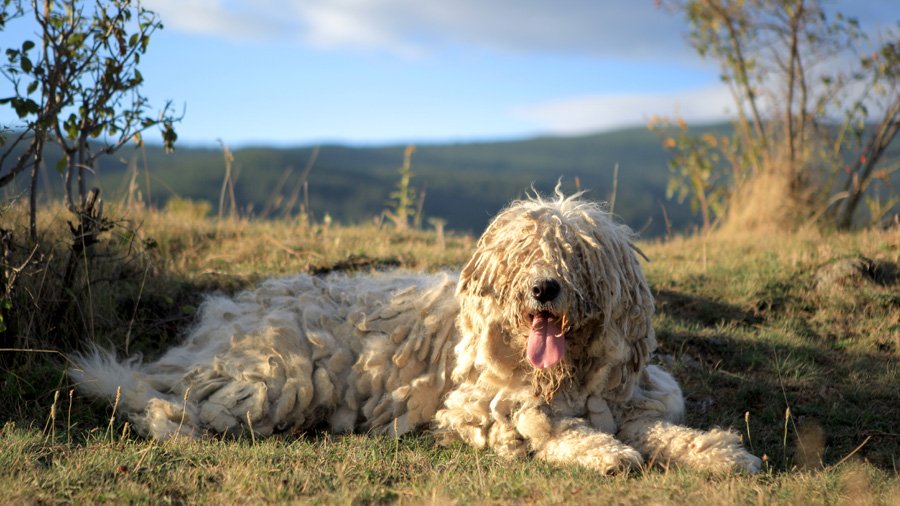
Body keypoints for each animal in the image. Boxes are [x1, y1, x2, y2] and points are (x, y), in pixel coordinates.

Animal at [72, 190, 760, 474]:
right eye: (522, 254)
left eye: (575, 255)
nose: (544, 289)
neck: (564, 374)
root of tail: (216, 325)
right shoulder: (478, 407)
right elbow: (545, 431)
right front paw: (604, 453)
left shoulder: (622, 399)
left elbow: (662, 430)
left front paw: (721, 452)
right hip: (272, 379)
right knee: (157, 400)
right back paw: (169, 418)